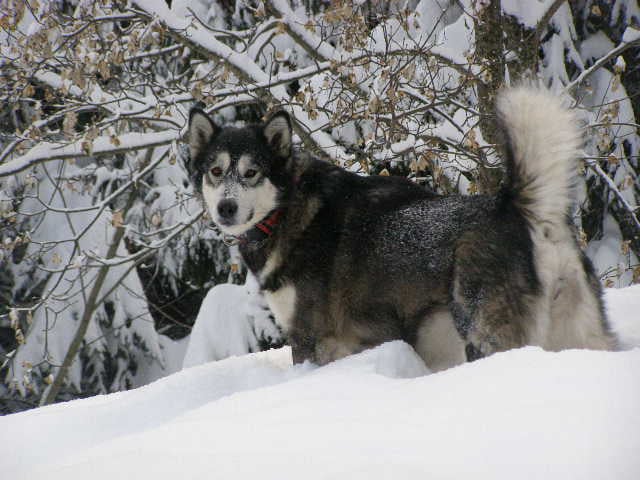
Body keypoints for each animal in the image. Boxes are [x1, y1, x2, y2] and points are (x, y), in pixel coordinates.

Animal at [185, 87, 616, 372]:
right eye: (216, 171)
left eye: (252, 172)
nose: (226, 207)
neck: (290, 207)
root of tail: (518, 208)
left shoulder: (311, 339)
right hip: (578, 335)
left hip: (485, 333)